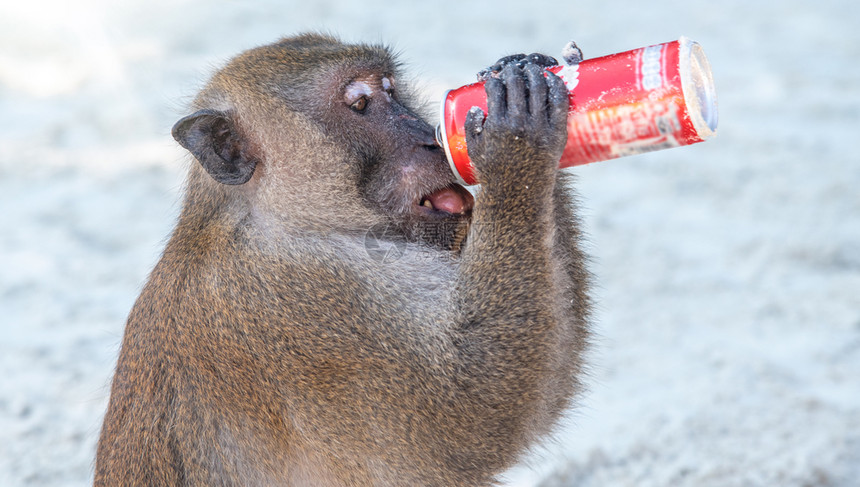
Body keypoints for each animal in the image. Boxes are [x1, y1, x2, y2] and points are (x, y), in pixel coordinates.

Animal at [94, 32, 592, 486]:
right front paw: (516, 138)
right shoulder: (307, 308)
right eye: (360, 104)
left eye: (391, 90)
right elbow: (476, 419)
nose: (430, 140)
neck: (285, 220)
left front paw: (521, 70)